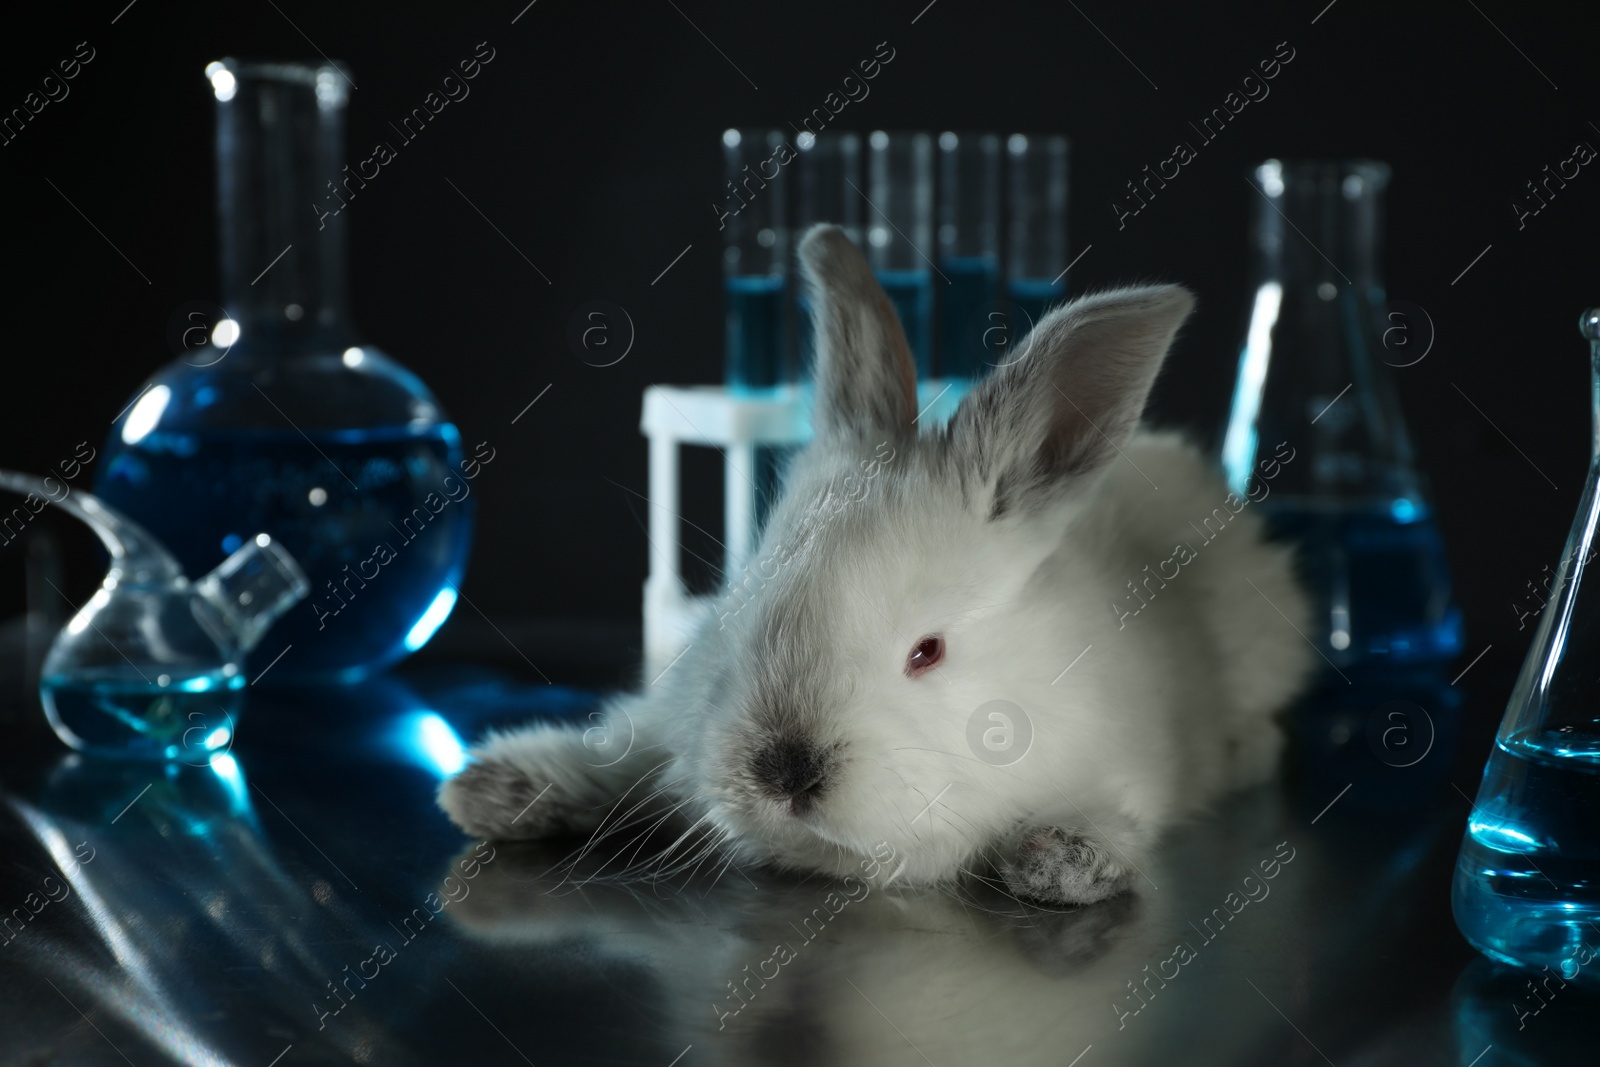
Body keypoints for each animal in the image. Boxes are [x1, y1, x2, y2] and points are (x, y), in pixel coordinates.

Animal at [441, 223, 1312, 902]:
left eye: (928, 651)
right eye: (741, 615)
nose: (783, 772)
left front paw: (1061, 860)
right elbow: (626, 748)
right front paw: (492, 790)